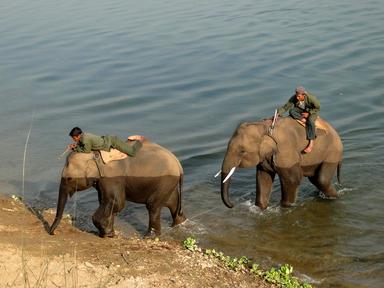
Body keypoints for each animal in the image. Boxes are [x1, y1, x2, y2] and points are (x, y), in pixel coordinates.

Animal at [48, 141, 187, 237]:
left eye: (69, 179)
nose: (52, 233)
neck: (95, 154)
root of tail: (179, 166)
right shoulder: (103, 180)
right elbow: (106, 202)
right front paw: (109, 233)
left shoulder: (112, 177)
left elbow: (117, 203)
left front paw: (105, 233)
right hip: (168, 183)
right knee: (172, 202)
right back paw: (179, 223)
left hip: (165, 181)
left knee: (153, 206)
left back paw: (149, 237)